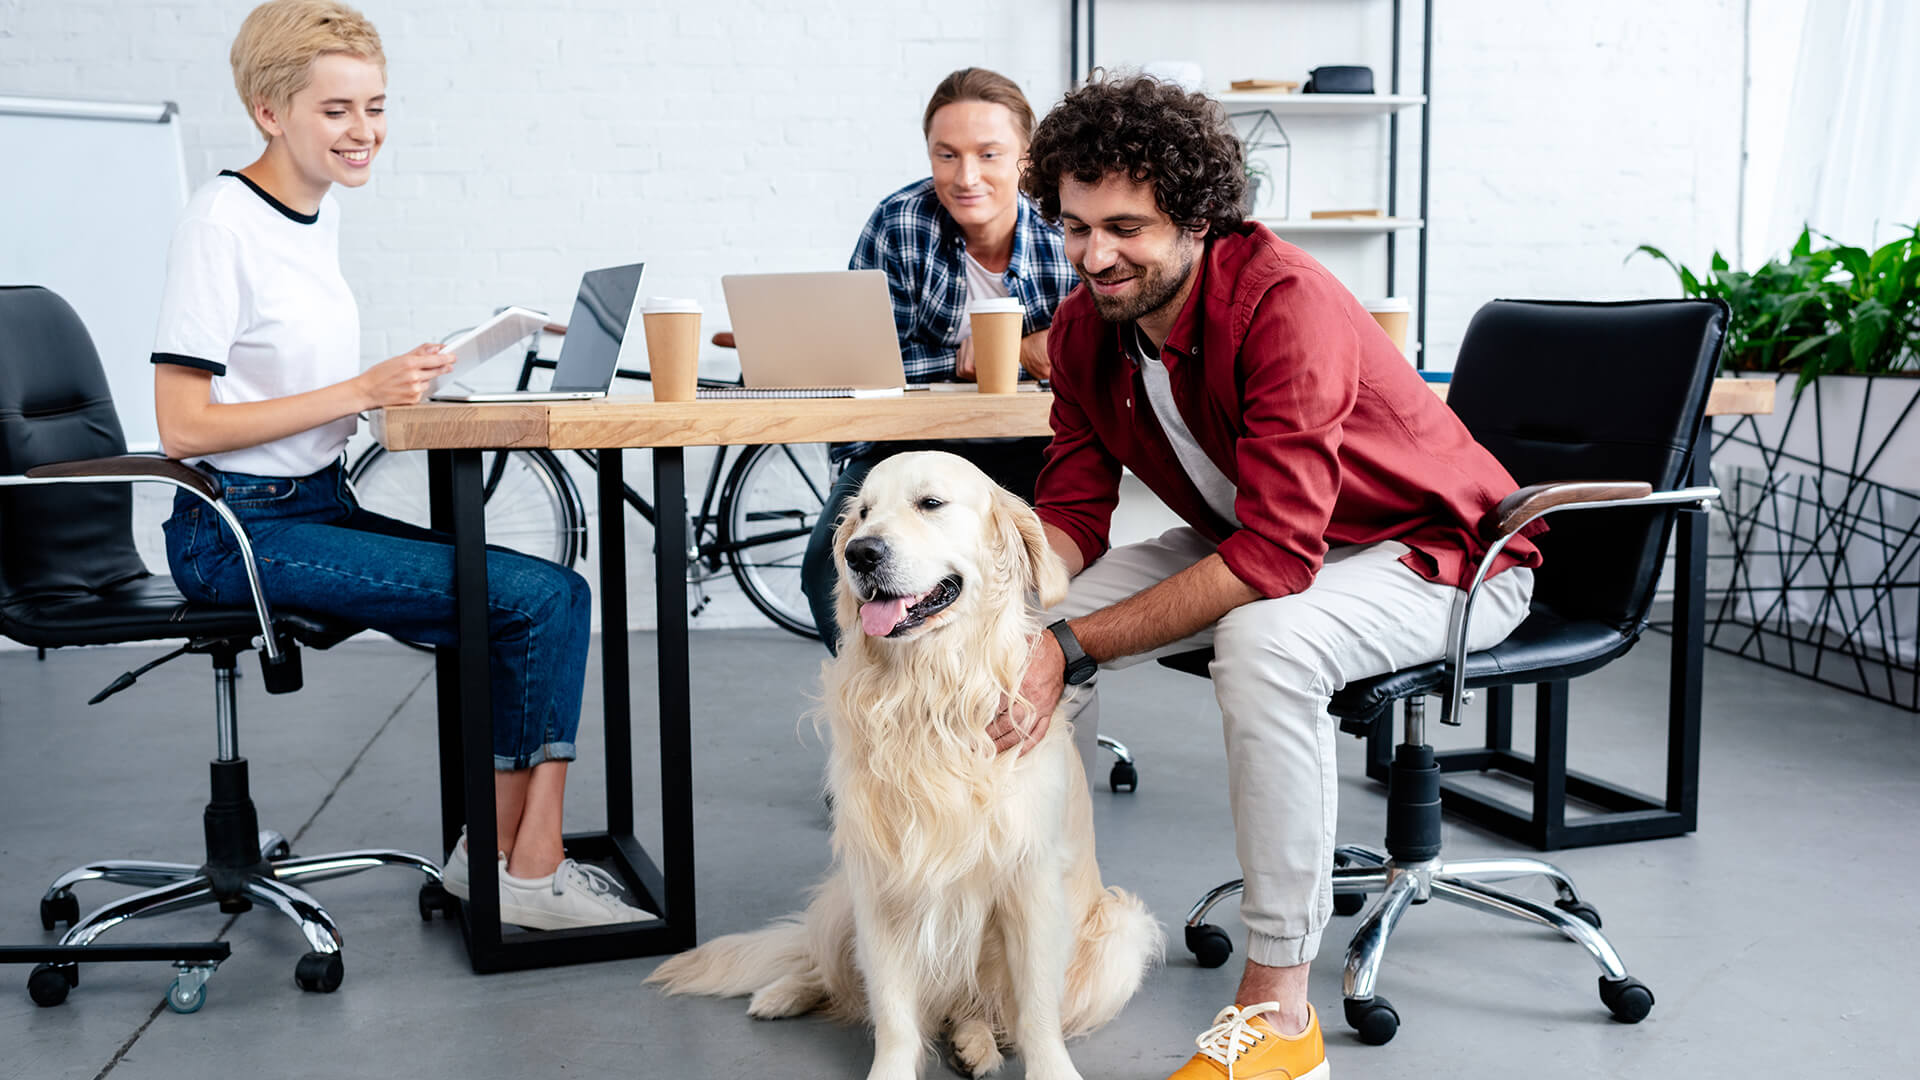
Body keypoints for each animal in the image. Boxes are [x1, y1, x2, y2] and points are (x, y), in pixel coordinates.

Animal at [648, 449, 1152, 1076]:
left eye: (929, 503)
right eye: (863, 511)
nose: (860, 553)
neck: (926, 693)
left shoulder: (1031, 881)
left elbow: (1036, 1009)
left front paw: (1051, 1068)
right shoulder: (879, 881)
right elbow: (890, 1008)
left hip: (1121, 937)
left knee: (979, 1007)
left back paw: (975, 1042)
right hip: (842, 897)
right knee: (826, 965)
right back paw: (783, 993)